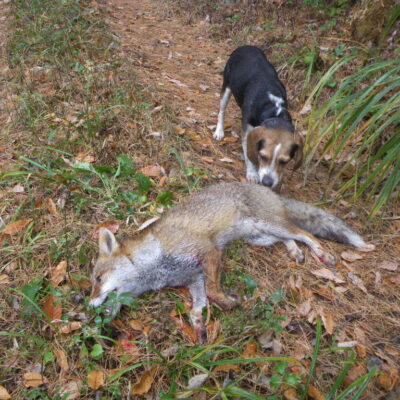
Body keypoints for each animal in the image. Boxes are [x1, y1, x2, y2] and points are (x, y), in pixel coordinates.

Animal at [89, 183, 374, 342]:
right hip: (260, 237)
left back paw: (321, 253)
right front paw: (199, 328)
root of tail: (264, 188)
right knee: (288, 239)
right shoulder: (194, 278)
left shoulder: (208, 252)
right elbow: (198, 307)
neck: (155, 264)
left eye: (97, 279)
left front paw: (231, 303)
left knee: (305, 234)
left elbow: (215, 294)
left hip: (269, 225)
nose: (89, 305)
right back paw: (295, 252)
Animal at [212, 45, 304, 188]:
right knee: (221, 111)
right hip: (226, 86)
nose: (267, 183)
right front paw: (252, 174)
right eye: (263, 156)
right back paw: (219, 131)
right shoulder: (248, 131)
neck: (273, 108)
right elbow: (249, 155)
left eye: (284, 161)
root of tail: (246, 46)